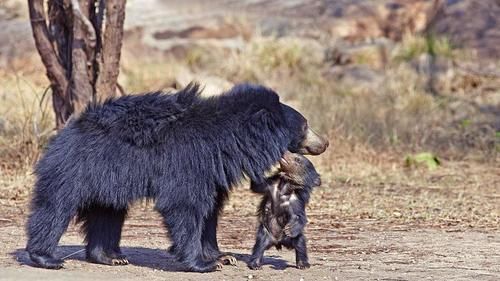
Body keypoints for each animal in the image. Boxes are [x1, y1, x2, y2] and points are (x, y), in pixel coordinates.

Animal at [25, 82, 328, 272]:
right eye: (305, 126)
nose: (324, 143)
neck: (229, 142)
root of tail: (69, 126)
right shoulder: (190, 161)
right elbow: (185, 205)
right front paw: (204, 264)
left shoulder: (213, 171)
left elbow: (211, 212)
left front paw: (223, 256)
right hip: (76, 167)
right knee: (55, 207)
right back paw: (46, 257)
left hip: (110, 178)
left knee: (108, 213)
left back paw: (110, 257)